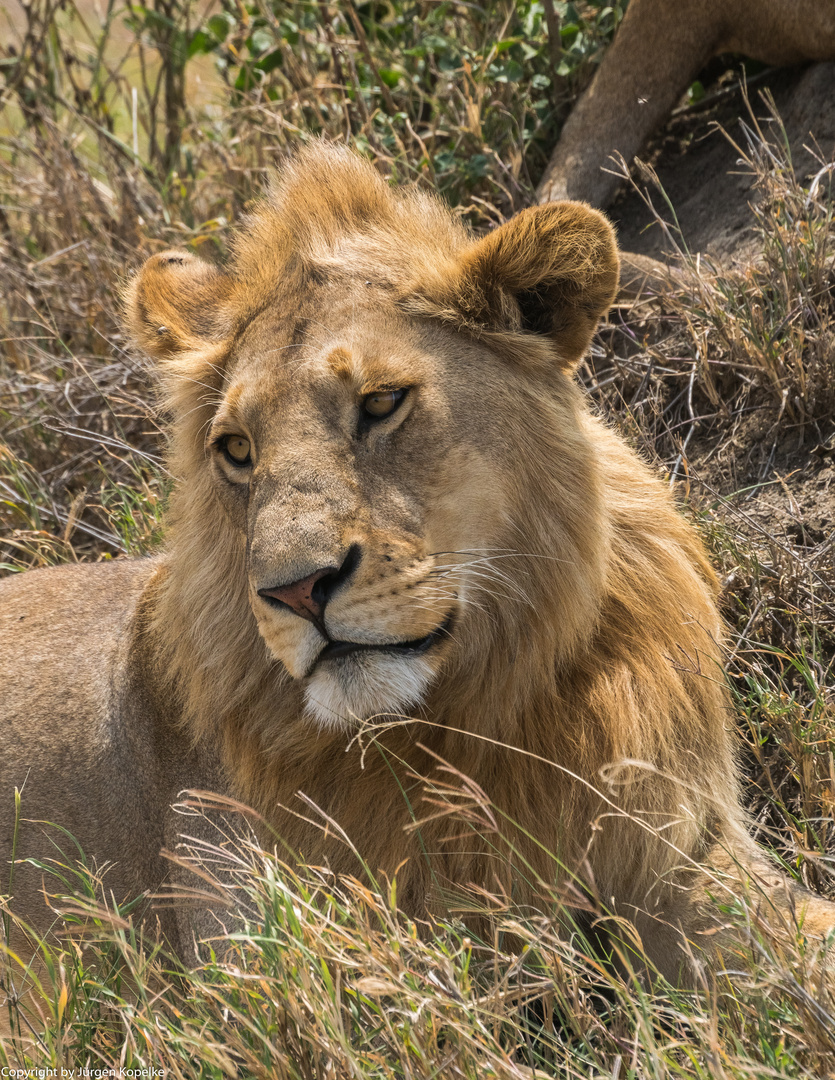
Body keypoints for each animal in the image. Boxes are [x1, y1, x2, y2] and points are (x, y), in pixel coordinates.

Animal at [1, 141, 833, 980]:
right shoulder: (254, 955)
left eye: (379, 403)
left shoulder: (686, 857)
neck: (473, 721)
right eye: (236, 450)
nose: (297, 591)